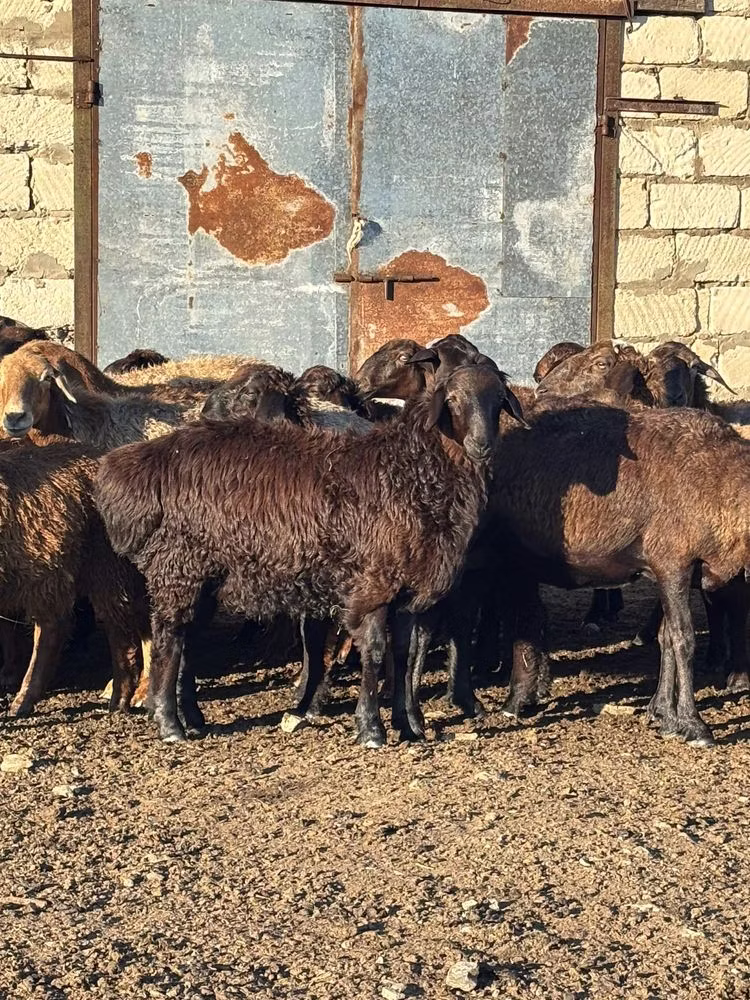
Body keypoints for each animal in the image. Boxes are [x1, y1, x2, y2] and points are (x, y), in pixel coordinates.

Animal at [95, 360, 521, 745]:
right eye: (454, 399)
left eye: (499, 401)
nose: (482, 445)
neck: (410, 471)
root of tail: (145, 462)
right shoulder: (371, 582)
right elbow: (375, 652)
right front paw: (371, 729)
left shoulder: (406, 590)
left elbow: (401, 656)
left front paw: (407, 727)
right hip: (179, 567)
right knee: (168, 638)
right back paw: (170, 724)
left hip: (206, 578)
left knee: (186, 640)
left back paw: (193, 719)